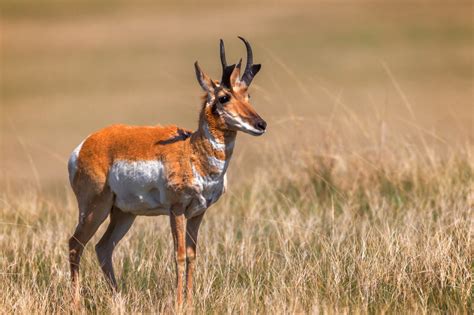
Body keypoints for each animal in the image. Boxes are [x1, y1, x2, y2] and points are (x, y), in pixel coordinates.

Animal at [67, 36, 266, 306]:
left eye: (248, 95)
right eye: (224, 97)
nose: (261, 124)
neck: (192, 149)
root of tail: (85, 145)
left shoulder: (198, 213)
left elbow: (192, 256)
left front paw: (191, 302)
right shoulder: (177, 209)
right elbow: (179, 255)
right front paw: (179, 303)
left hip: (123, 213)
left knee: (103, 248)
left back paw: (119, 299)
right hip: (95, 208)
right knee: (75, 245)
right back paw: (76, 303)